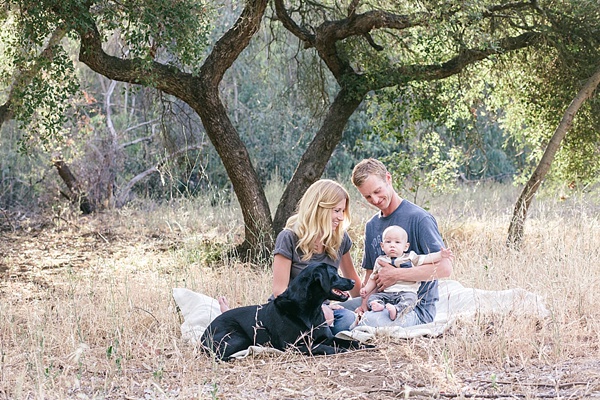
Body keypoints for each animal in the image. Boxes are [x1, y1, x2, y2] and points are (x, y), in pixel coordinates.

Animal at [201, 263, 371, 361]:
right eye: (335, 274)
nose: (353, 281)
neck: (310, 310)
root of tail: (203, 336)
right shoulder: (293, 346)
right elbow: (322, 347)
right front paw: (339, 350)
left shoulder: (326, 337)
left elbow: (351, 341)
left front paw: (366, 345)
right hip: (239, 338)